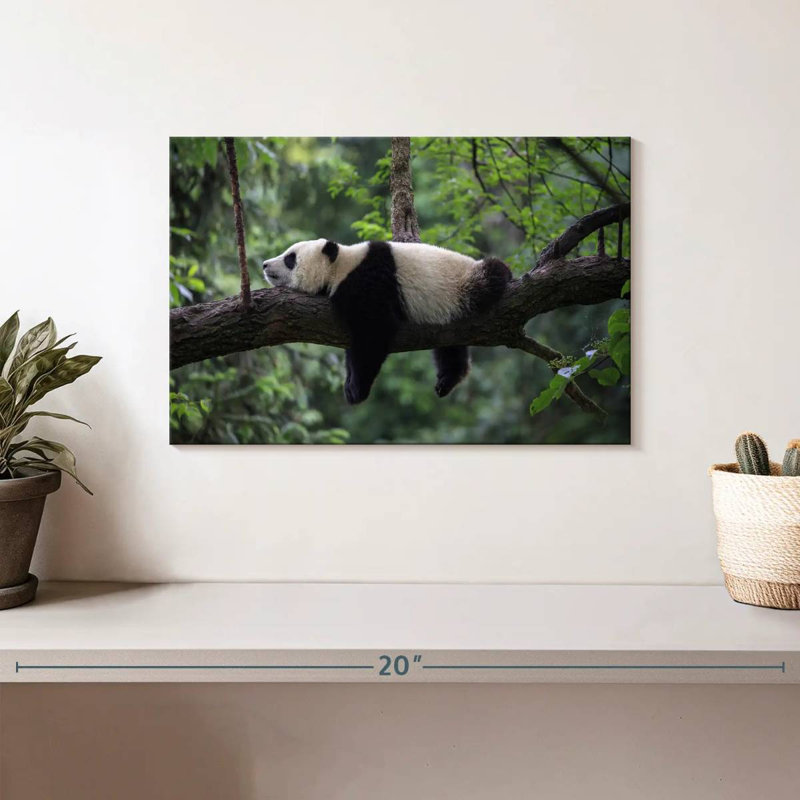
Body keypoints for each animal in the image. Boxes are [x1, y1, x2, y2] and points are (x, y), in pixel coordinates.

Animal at [262, 239, 511, 404]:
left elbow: (373, 333)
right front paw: (350, 383)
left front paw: (356, 389)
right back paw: (447, 379)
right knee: (450, 347)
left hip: (464, 283)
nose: (265, 264)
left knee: (491, 275)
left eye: (290, 258)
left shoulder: (369, 283)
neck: (342, 265)